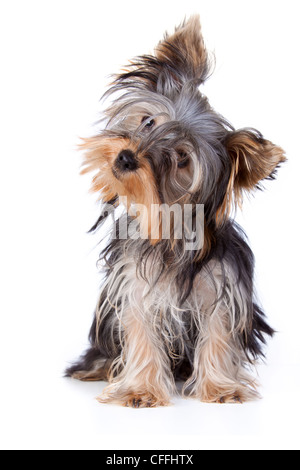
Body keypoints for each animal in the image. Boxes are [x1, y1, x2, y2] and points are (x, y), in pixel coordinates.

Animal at [65, 16, 286, 406]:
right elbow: (140, 333)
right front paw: (139, 390)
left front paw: (222, 388)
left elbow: (219, 335)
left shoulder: (222, 290)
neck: (171, 233)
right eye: (148, 122)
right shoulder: (134, 286)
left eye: (181, 158)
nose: (126, 157)